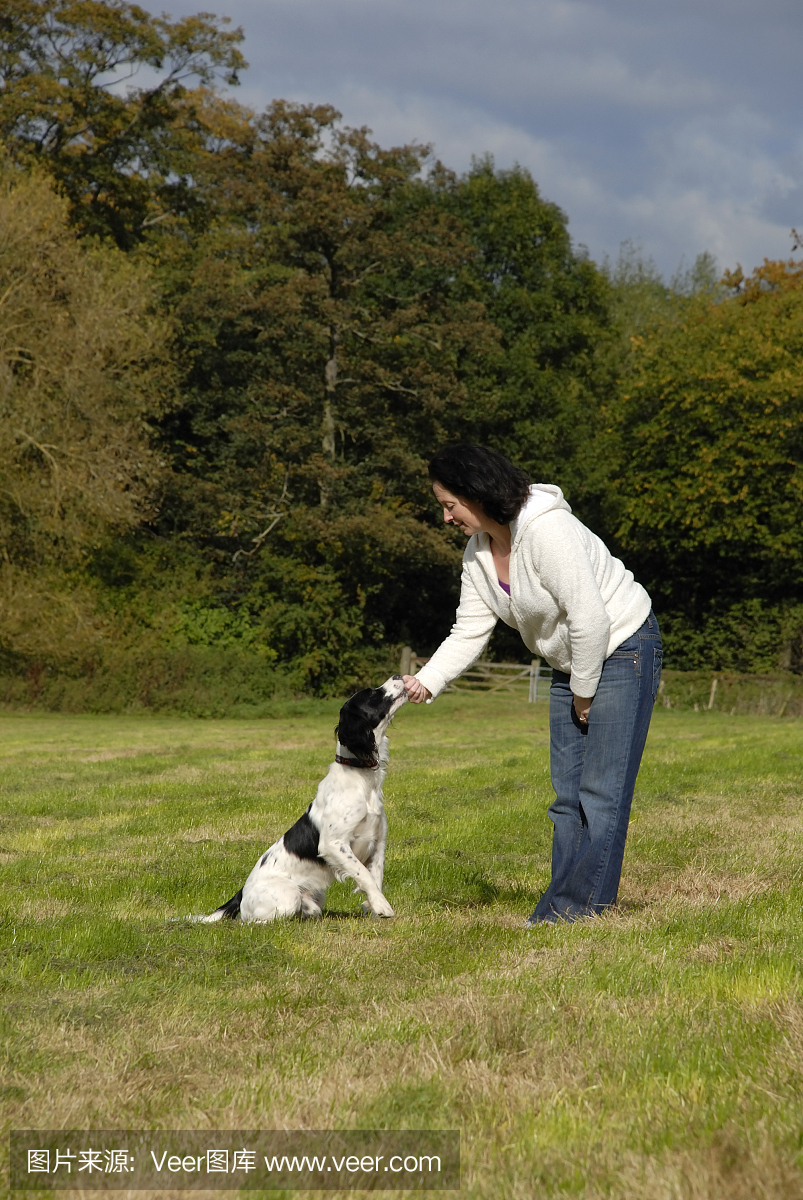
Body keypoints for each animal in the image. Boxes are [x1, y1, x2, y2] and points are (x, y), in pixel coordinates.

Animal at [194, 676, 408, 916]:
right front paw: (382, 907)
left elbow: (375, 877)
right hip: (288, 897)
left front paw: (373, 907)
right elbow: (364, 875)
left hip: (316, 898)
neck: (360, 777)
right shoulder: (333, 843)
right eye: (371, 693)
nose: (398, 676)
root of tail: (240, 893)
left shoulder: (378, 842)